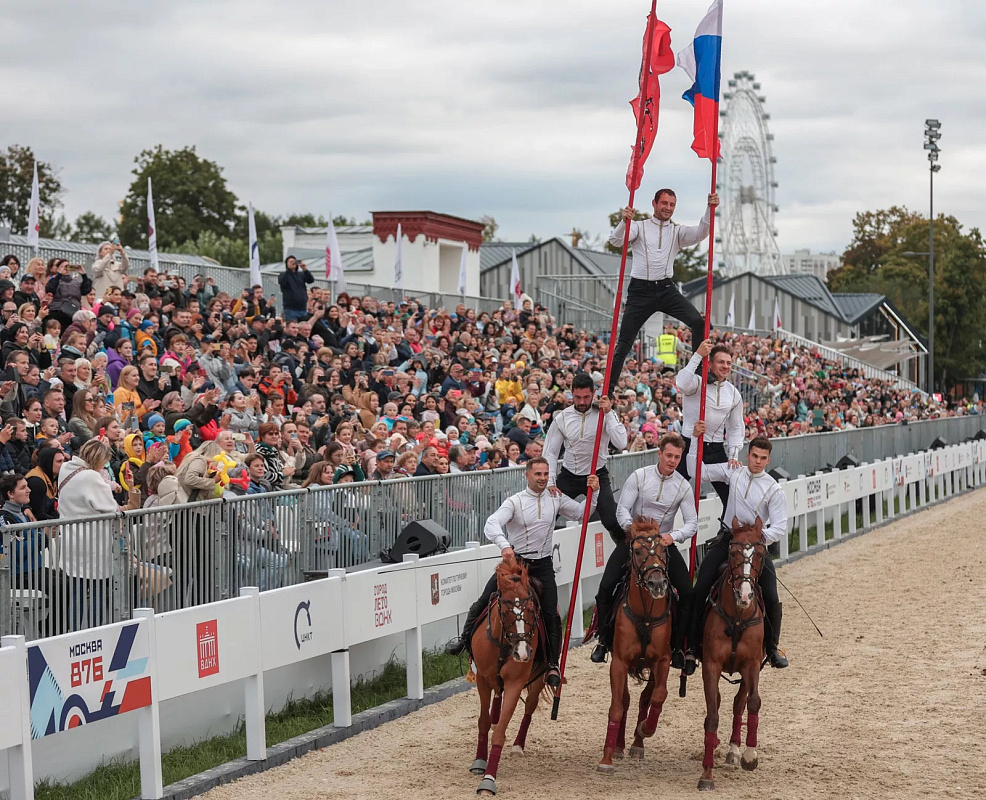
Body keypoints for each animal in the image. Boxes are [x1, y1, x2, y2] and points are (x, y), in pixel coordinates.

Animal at [468, 556, 544, 792]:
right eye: (505, 610)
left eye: (531, 609)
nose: (522, 652)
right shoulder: (482, 679)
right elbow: (483, 722)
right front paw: (479, 762)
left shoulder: (515, 683)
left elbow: (500, 732)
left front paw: (489, 779)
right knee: (496, 700)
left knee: (530, 706)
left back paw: (518, 745)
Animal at [596, 520, 672, 776]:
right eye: (637, 551)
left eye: (664, 550)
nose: (657, 583)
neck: (645, 616)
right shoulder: (619, 663)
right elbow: (617, 706)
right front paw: (606, 759)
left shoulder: (662, 661)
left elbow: (659, 695)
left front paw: (645, 729)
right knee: (626, 701)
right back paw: (619, 746)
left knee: (645, 698)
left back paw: (638, 744)